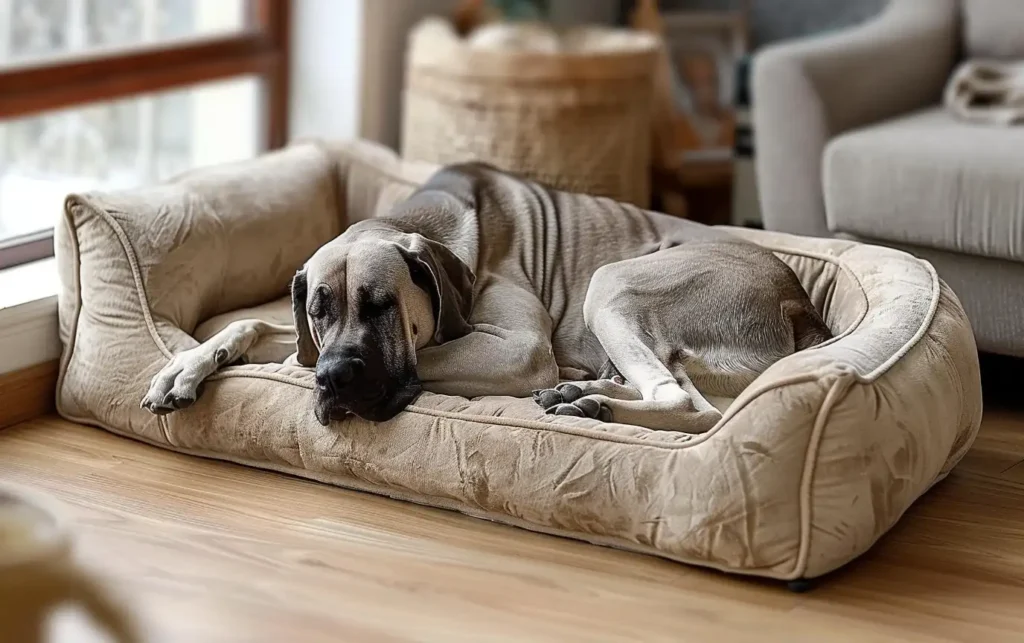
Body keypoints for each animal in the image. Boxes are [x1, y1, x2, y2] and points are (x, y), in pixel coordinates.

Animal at [142, 161, 831, 432]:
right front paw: (183, 367)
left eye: (382, 306)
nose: (333, 378)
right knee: (686, 397)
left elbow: (424, 359)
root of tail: (799, 303)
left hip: (613, 283)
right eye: (318, 310)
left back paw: (595, 406)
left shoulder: (518, 350)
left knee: (687, 405)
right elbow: (255, 328)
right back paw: (583, 395)